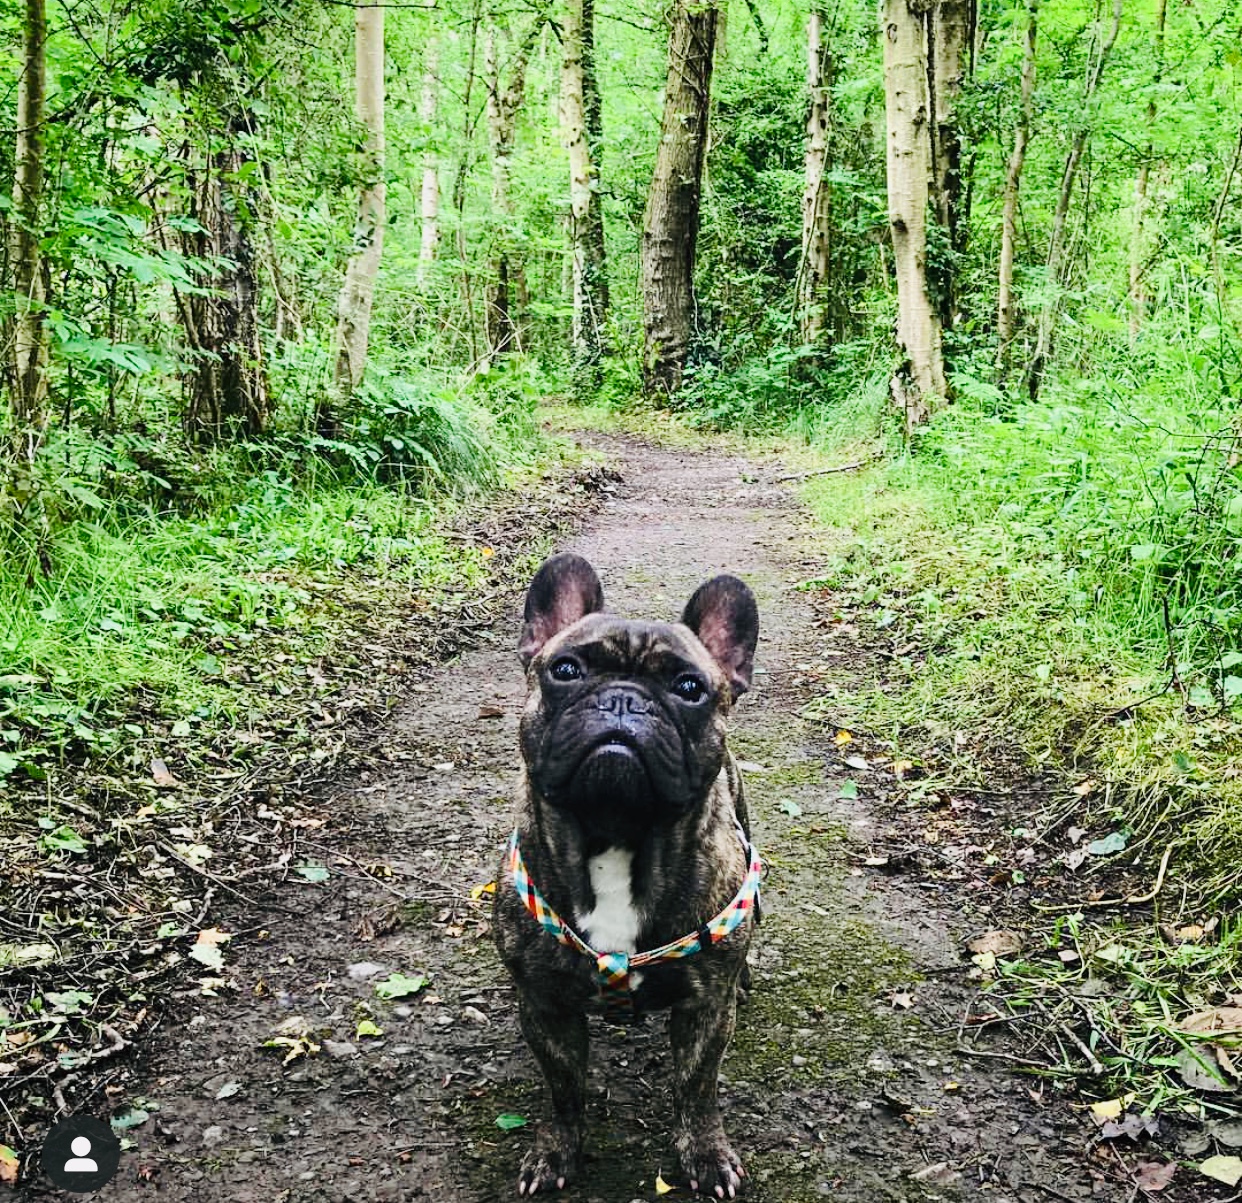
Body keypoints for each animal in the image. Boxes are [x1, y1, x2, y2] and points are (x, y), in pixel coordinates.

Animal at [491, 551, 755, 1191]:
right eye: (565, 669)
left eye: (689, 688)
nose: (623, 699)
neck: (616, 835)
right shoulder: (545, 1006)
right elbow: (563, 1089)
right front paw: (555, 1151)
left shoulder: (706, 1011)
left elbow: (696, 1087)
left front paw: (705, 1153)